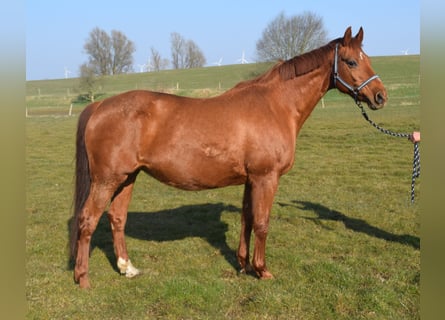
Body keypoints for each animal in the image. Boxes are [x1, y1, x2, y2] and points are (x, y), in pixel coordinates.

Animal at [68, 27, 386, 288]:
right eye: (351, 62)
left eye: (367, 57)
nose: (380, 96)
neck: (275, 105)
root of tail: (99, 106)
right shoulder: (266, 178)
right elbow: (262, 223)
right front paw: (262, 270)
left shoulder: (250, 180)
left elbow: (247, 218)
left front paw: (243, 265)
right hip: (107, 180)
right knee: (87, 219)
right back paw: (83, 278)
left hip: (127, 177)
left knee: (117, 217)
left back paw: (127, 268)